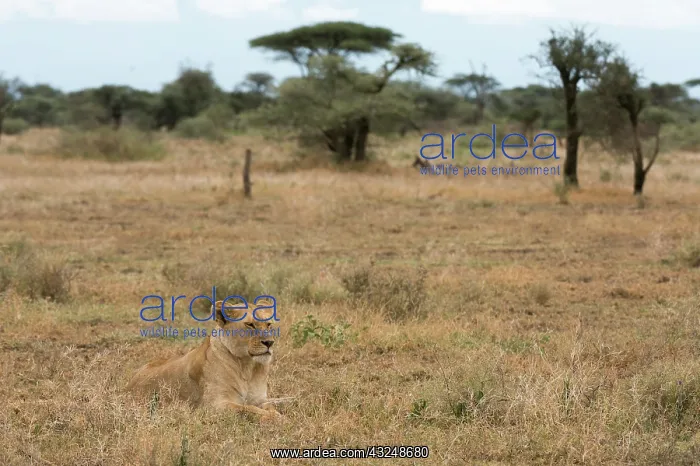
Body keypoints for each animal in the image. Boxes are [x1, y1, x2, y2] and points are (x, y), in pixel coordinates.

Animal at [126, 299, 285, 420]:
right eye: (250, 324)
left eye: (269, 324)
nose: (269, 343)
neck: (247, 367)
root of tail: (130, 382)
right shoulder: (214, 405)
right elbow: (248, 409)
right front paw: (276, 418)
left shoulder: (260, 399)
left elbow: (268, 406)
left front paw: (276, 414)